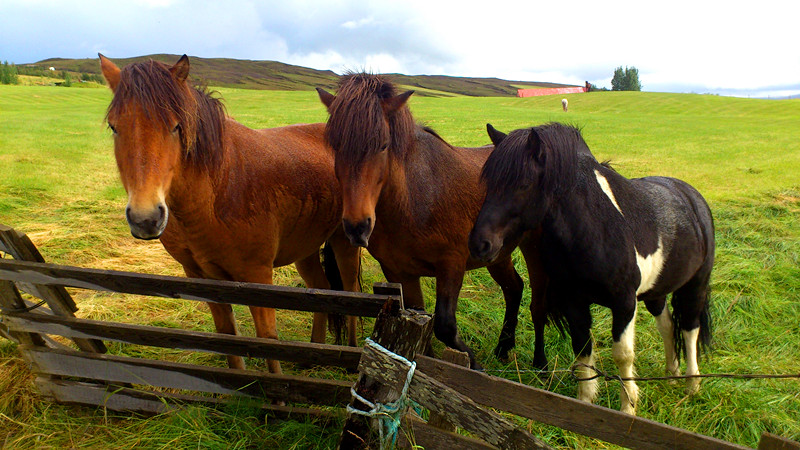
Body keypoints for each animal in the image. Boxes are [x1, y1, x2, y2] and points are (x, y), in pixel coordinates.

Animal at [100, 55, 362, 372]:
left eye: (176, 126)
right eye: (114, 127)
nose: (146, 218)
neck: (217, 192)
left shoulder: (257, 276)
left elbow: (267, 338)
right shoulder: (202, 278)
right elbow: (227, 337)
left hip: (344, 243)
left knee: (350, 293)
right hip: (305, 248)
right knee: (320, 290)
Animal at [318, 74, 552, 370]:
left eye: (383, 145)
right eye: (335, 146)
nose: (357, 227)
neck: (413, 199)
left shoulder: (451, 263)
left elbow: (444, 325)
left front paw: (473, 367)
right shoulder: (398, 271)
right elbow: (421, 324)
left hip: (533, 249)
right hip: (498, 254)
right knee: (514, 288)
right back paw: (503, 348)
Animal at [466, 123, 716, 414]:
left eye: (524, 184)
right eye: (489, 183)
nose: (480, 244)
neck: (595, 228)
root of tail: (692, 196)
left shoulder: (624, 304)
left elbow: (623, 356)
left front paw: (628, 408)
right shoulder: (574, 303)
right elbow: (583, 349)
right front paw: (585, 402)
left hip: (695, 285)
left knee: (689, 328)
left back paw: (692, 385)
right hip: (657, 291)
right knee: (667, 325)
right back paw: (671, 374)